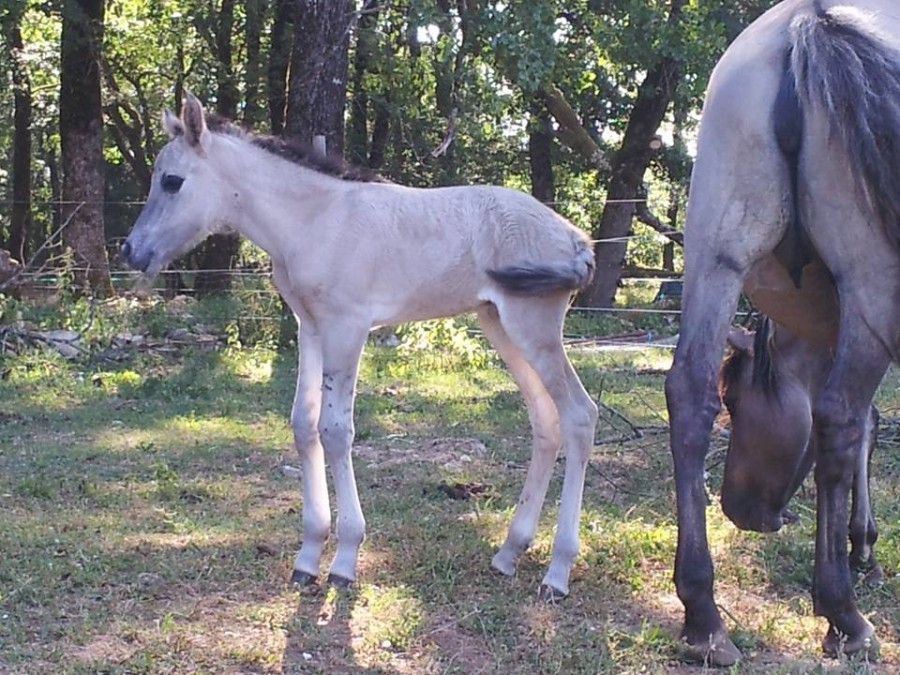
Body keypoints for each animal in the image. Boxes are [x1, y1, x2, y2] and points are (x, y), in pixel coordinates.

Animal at [119, 95, 596, 596]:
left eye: (172, 181)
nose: (130, 251)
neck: (314, 220)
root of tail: (576, 239)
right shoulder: (310, 327)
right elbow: (303, 425)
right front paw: (308, 555)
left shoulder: (347, 327)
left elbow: (335, 431)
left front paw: (344, 558)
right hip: (499, 324)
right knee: (546, 420)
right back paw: (508, 552)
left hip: (533, 326)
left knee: (580, 416)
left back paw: (558, 570)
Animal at [664, 0, 896, 664]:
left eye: (739, 402)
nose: (737, 510)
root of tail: (808, 21)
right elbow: (862, 426)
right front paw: (861, 549)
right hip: (873, 280)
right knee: (839, 419)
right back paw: (845, 616)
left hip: (716, 251)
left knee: (687, 393)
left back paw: (703, 615)